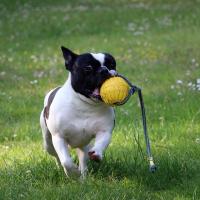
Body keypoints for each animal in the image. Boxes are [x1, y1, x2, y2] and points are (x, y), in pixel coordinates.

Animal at [39, 46, 117, 177]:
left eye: (111, 64)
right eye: (88, 68)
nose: (104, 70)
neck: (85, 105)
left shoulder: (104, 131)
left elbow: (101, 142)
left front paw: (97, 153)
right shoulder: (59, 137)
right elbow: (66, 161)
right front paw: (73, 173)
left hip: (83, 144)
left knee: (83, 159)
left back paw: (84, 175)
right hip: (48, 142)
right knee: (56, 156)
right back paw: (61, 168)